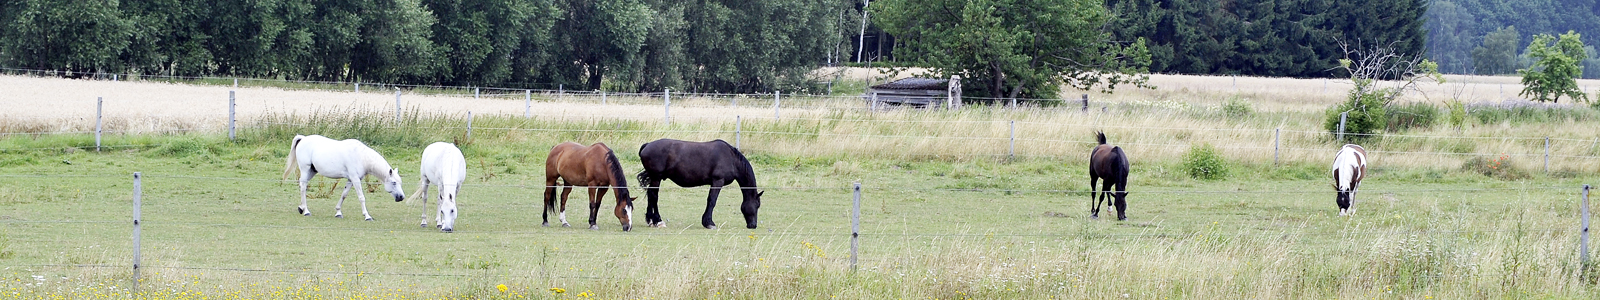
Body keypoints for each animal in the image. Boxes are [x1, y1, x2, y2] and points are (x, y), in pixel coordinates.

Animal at [633, 139, 764, 228]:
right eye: (757, 205)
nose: (753, 225)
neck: (731, 159)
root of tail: (647, 145)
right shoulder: (717, 181)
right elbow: (712, 201)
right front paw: (709, 223)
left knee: (650, 195)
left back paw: (650, 220)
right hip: (656, 177)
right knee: (654, 196)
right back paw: (658, 220)